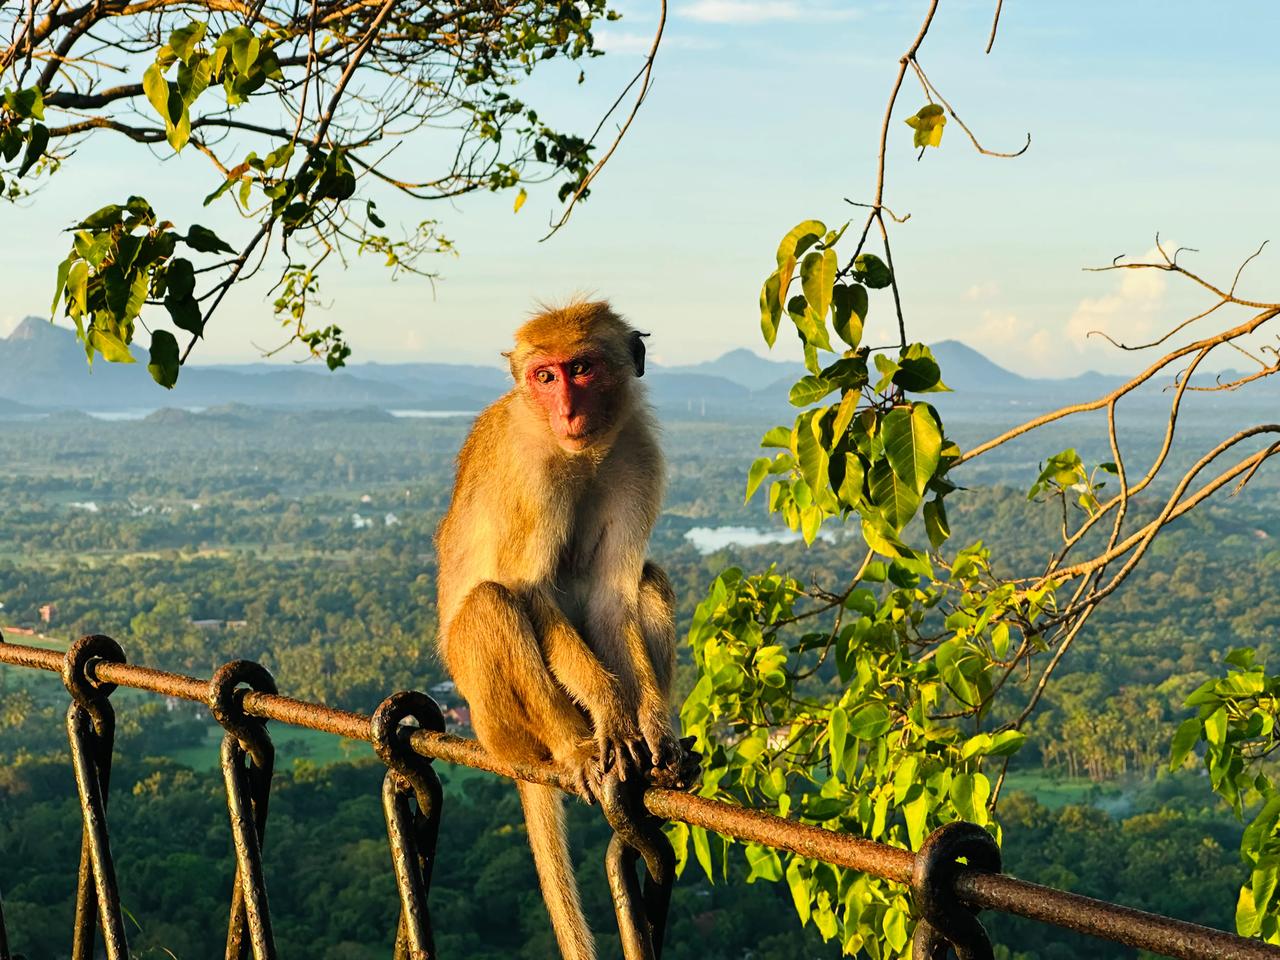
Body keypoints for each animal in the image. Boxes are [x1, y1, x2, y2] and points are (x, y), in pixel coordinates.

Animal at [435, 300, 686, 960]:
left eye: (582, 369)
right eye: (545, 376)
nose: (568, 410)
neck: (579, 451)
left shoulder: (638, 454)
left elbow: (613, 597)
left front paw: (650, 726)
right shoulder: (531, 475)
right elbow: (530, 590)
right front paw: (611, 709)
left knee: (649, 580)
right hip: (495, 720)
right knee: (492, 604)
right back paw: (573, 746)